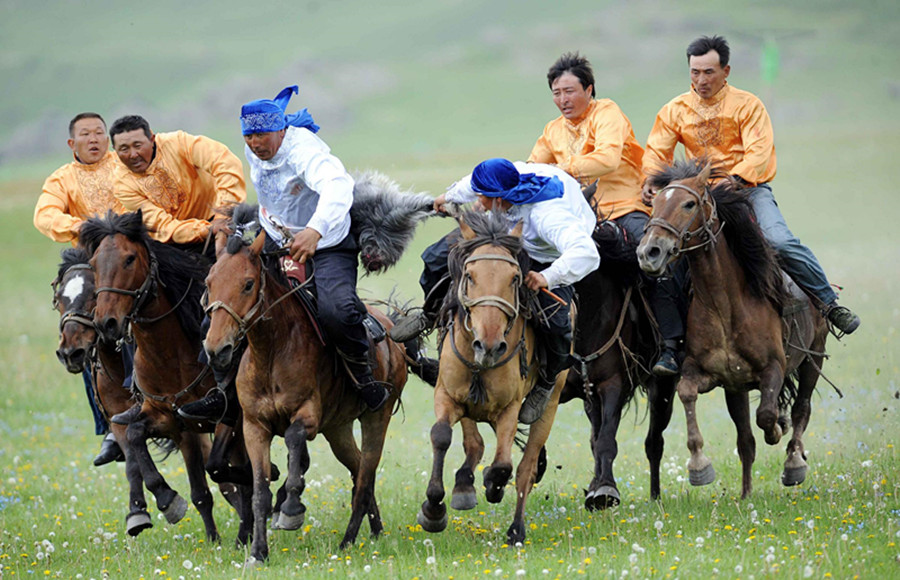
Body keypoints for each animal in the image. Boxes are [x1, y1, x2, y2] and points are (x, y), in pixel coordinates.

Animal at [51, 245, 157, 536]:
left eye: (92, 294)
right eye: (60, 298)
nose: (70, 352)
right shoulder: (118, 416)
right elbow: (132, 461)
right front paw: (137, 513)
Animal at [81, 212, 253, 544]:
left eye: (129, 258)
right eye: (94, 263)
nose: (107, 323)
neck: (170, 355)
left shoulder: (227, 416)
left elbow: (226, 470)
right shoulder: (175, 424)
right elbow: (138, 437)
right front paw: (168, 500)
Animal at [203, 205, 408, 560]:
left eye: (247, 284)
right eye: (209, 282)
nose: (217, 349)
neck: (271, 352)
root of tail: (393, 337)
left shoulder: (308, 416)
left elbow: (295, 441)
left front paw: (291, 508)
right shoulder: (253, 427)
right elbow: (258, 492)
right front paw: (258, 552)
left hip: (375, 419)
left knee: (364, 479)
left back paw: (348, 541)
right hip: (338, 429)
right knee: (358, 471)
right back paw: (376, 529)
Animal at [416, 211, 568, 548]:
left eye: (514, 278)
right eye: (470, 276)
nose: (489, 345)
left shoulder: (510, 408)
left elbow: (503, 466)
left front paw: (492, 485)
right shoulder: (448, 395)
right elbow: (442, 436)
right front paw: (433, 509)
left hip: (549, 406)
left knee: (524, 467)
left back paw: (515, 530)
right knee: (475, 443)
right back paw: (464, 486)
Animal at [636, 160, 828, 498]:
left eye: (688, 204)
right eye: (654, 204)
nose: (649, 252)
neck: (725, 305)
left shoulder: (774, 367)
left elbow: (767, 415)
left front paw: (777, 429)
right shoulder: (708, 374)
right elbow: (688, 394)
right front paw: (699, 466)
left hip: (812, 357)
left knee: (801, 408)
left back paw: (794, 464)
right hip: (736, 389)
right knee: (747, 441)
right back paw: (746, 494)